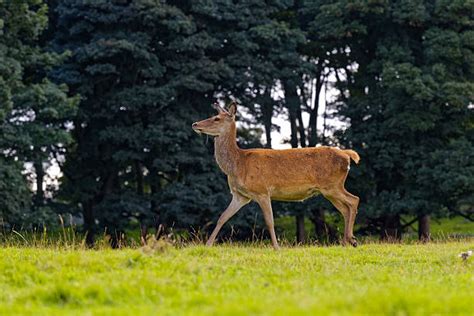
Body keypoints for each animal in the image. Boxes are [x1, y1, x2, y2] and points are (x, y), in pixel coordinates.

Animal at [190, 101, 360, 249]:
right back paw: (346, 242)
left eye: (216, 118)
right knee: (345, 209)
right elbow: (222, 217)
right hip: (329, 190)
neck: (238, 165)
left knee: (353, 200)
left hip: (332, 185)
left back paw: (351, 239)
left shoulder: (262, 191)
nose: (195, 124)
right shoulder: (241, 195)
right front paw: (207, 244)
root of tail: (347, 155)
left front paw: (276, 247)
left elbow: (270, 221)